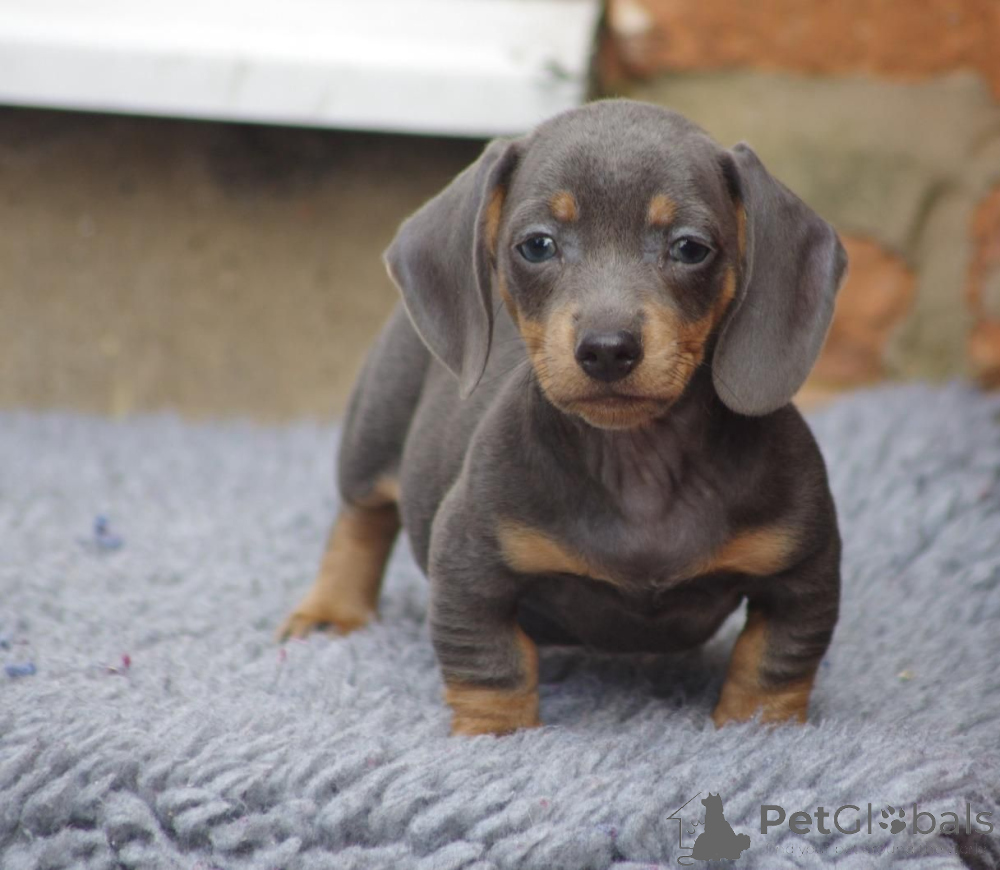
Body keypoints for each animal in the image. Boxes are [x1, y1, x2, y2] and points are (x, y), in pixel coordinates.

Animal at [278, 99, 846, 737]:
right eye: (537, 245)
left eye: (690, 247)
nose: (607, 349)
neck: (638, 462)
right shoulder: (469, 561)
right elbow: (490, 663)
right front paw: (496, 734)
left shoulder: (803, 572)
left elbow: (772, 666)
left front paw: (758, 730)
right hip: (375, 426)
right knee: (360, 518)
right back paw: (331, 611)